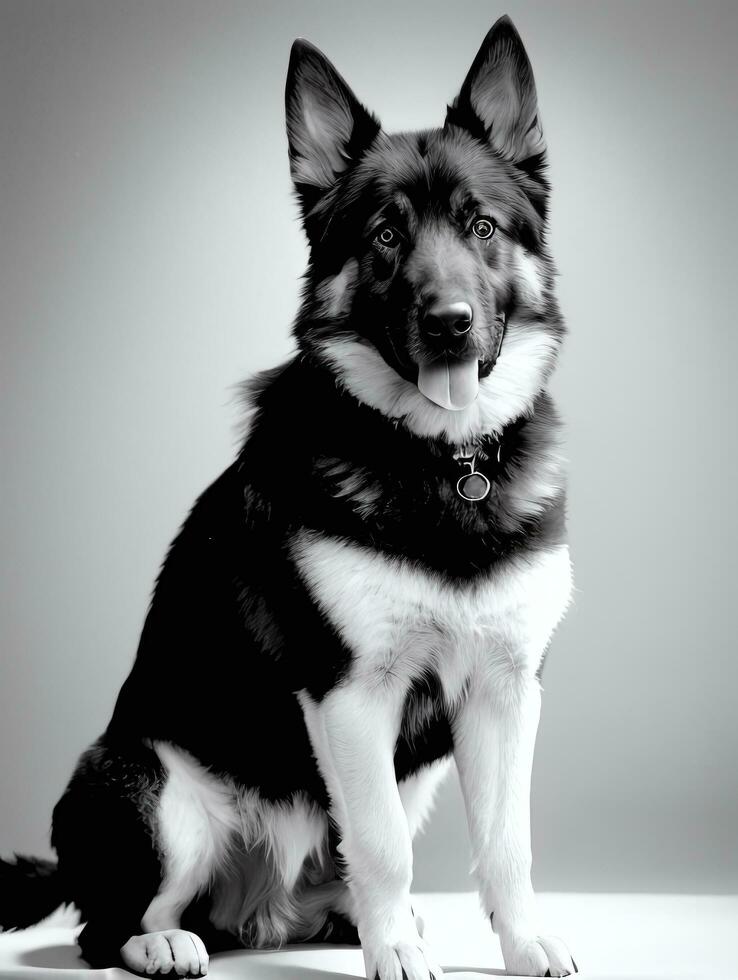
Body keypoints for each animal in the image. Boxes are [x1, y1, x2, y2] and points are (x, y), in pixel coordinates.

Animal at [0, 15, 576, 980]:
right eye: (384, 237)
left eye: (481, 226)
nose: (450, 323)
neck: (441, 460)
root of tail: (260, 913)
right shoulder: (350, 694)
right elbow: (380, 842)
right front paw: (396, 956)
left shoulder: (504, 695)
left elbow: (508, 843)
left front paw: (524, 941)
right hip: (150, 787)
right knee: (105, 925)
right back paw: (165, 940)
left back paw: (359, 921)